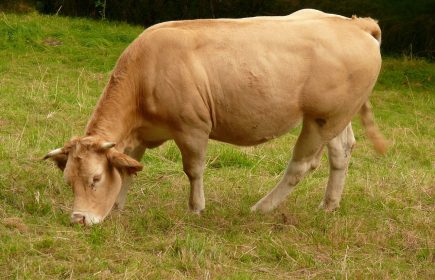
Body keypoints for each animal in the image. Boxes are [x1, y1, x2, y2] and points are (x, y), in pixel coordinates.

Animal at [44, 9, 388, 226]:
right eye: (69, 181)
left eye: (95, 179)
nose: (79, 219)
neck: (147, 71)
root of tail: (354, 25)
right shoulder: (140, 133)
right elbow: (130, 168)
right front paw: (117, 206)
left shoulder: (192, 128)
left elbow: (193, 170)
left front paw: (196, 208)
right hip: (337, 117)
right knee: (341, 152)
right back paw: (329, 205)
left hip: (321, 119)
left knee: (302, 164)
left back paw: (261, 208)